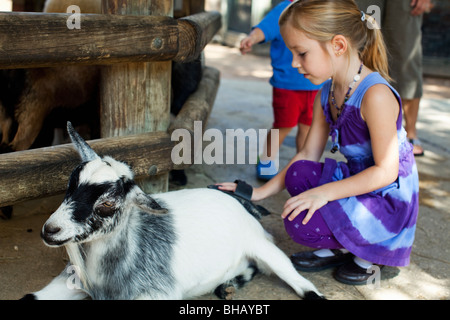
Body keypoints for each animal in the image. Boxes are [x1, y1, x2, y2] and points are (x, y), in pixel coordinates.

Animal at [21, 122, 324, 300]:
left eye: (107, 203)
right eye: (69, 184)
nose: (51, 230)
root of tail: (240, 202)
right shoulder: (72, 280)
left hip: (262, 245)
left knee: (306, 288)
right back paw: (227, 283)